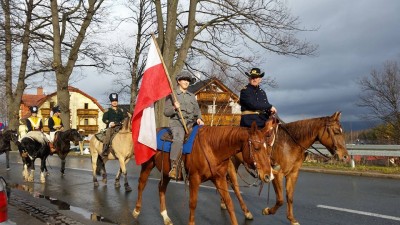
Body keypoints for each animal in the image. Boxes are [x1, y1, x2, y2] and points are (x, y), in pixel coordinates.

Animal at [131, 118, 278, 225]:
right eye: (257, 148)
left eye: (268, 148)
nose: (269, 175)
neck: (212, 148)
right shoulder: (194, 179)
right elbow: (193, 204)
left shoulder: (220, 178)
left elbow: (229, 203)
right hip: (147, 165)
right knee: (141, 184)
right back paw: (136, 211)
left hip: (166, 172)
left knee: (161, 188)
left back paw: (165, 217)